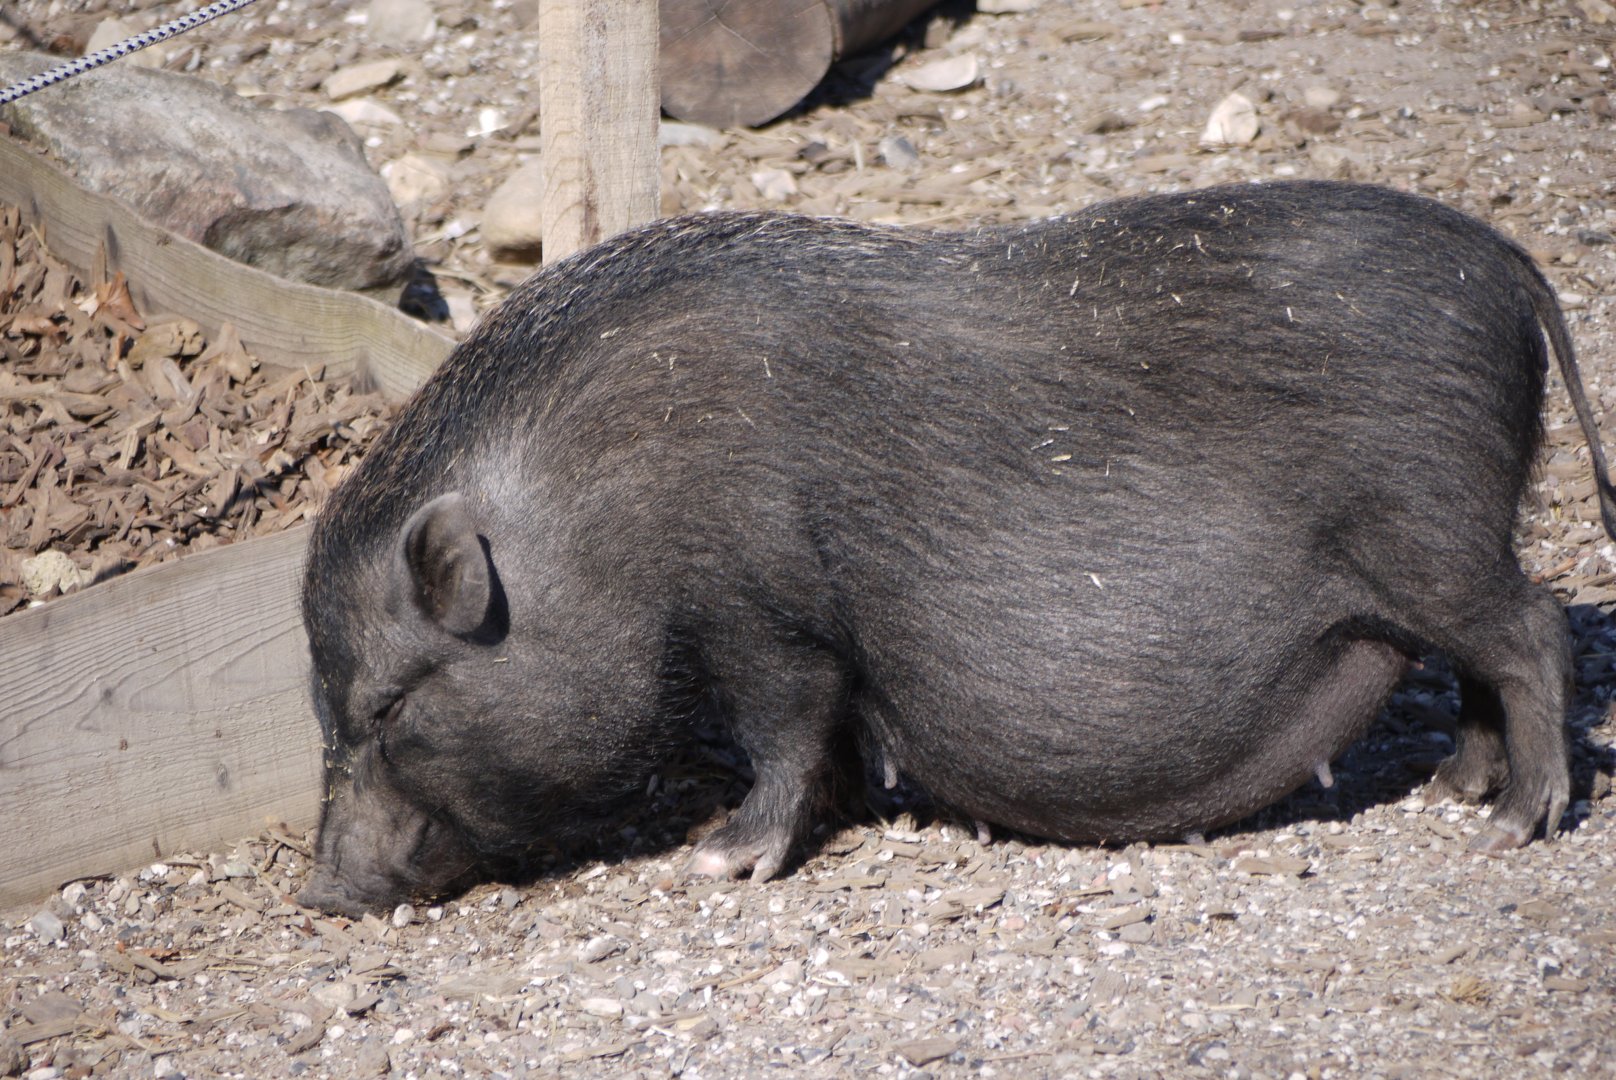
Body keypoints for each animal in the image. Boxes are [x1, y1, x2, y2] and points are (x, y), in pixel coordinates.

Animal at [295, 180, 1614, 916]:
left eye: (385, 706)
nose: (318, 895)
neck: (596, 527)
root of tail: (1505, 265)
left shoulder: (763, 614)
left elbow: (787, 728)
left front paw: (718, 865)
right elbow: (823, 741)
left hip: (1430, 526)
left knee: (1532, 625)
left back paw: (1517, 823)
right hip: (1446, 537)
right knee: (1483, 654)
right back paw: (1455, 790)